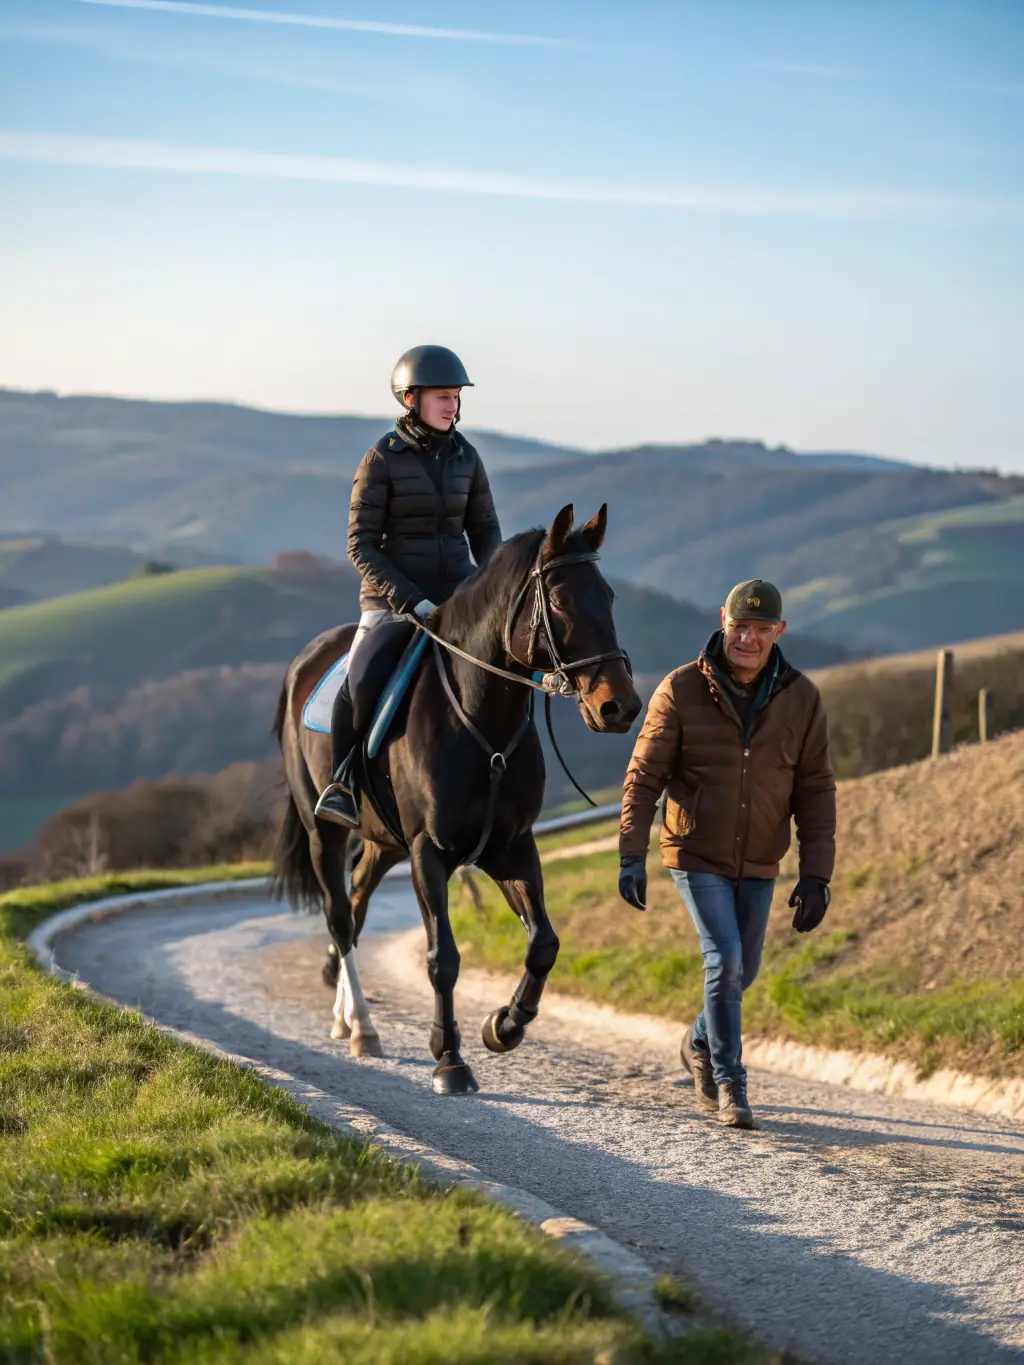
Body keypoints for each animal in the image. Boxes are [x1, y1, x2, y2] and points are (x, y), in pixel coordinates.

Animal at [271, 503, 641, 1095]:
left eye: (607, 596)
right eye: (560, 601)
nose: (620, 707)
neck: (480, 717)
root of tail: (305, 661)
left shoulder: (511, 847)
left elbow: (544, 944)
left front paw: (504, 1025)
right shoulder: (431, 851)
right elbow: (443, 957)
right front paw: (449, 1059)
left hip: (383, 843)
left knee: (357, 901)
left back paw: (345, 1017)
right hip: (324, 833)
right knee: (339, 917)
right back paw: (363, 1028)